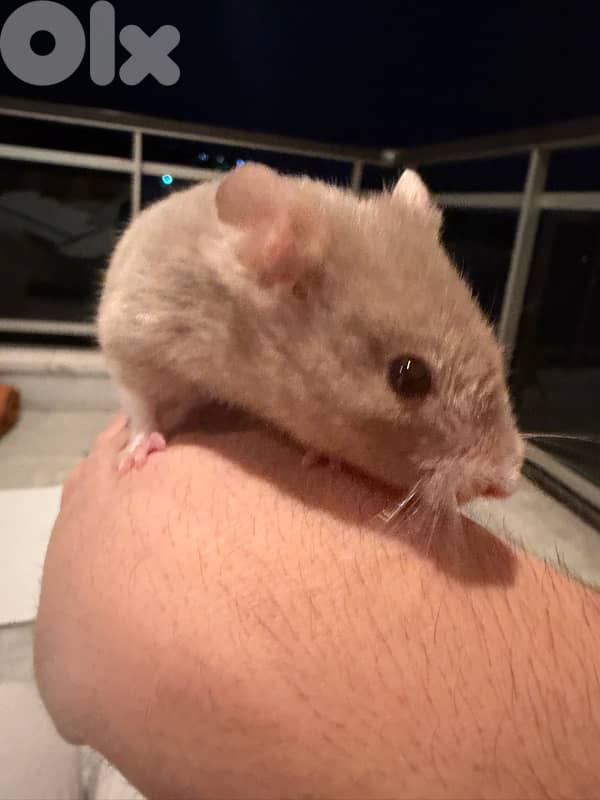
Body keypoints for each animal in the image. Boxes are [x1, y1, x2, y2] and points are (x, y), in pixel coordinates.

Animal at [96, 163, 524, 506]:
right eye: (408, 375)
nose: (507, 482)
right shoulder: (131, 335)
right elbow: (139, 402)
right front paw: (137, 452)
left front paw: (325, 456)